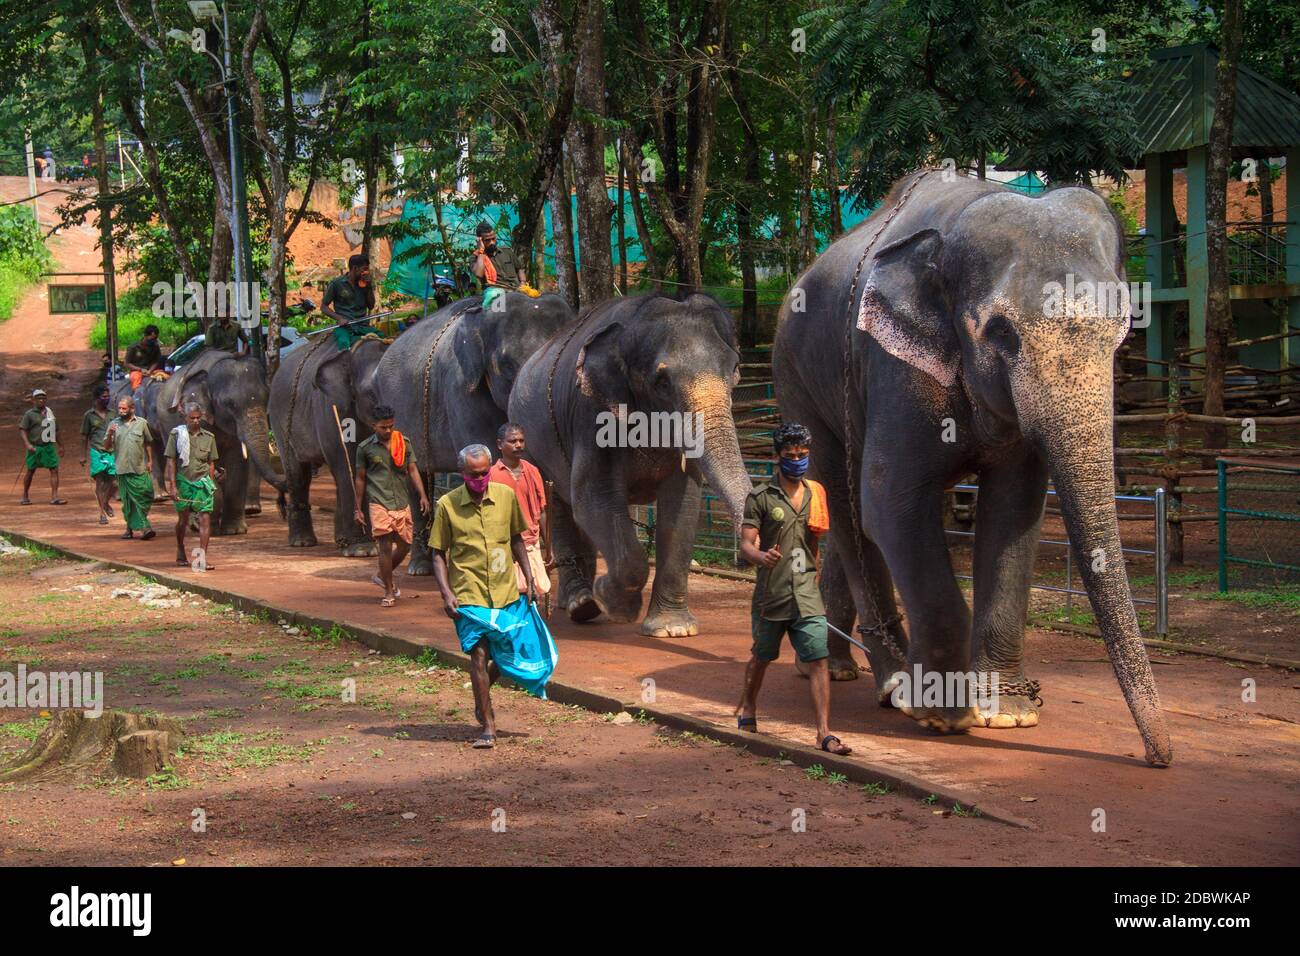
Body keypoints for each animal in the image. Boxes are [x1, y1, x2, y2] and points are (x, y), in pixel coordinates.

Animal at [267, 334, 388, 555]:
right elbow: (349, 463)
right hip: (280, 421)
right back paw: (302, 542)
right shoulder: (330, 407)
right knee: (298, 474)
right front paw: (362, 550)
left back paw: (339, 540)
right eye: (372, 392)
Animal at [509, 293, 755, 637]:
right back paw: (582, 604)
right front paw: (614, 604)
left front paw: (673, 629)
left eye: (734, 368)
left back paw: (577, 601)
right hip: (531, 445)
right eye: (662, 382)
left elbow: (682, 505)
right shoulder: (590, 413)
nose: (747, 556)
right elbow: (594, 499)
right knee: (557, 505)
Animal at [772, 168, 1171, 767]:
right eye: (1002, 331)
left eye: (1120, 329)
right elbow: (890, 503)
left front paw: (1008, 713)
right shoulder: (897, 368)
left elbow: (1014, 513)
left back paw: (837, 668)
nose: (1159, 757)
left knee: (848, 515)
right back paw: (892, 685)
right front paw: (943, 716)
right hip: (797, 379)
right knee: (842, 497)